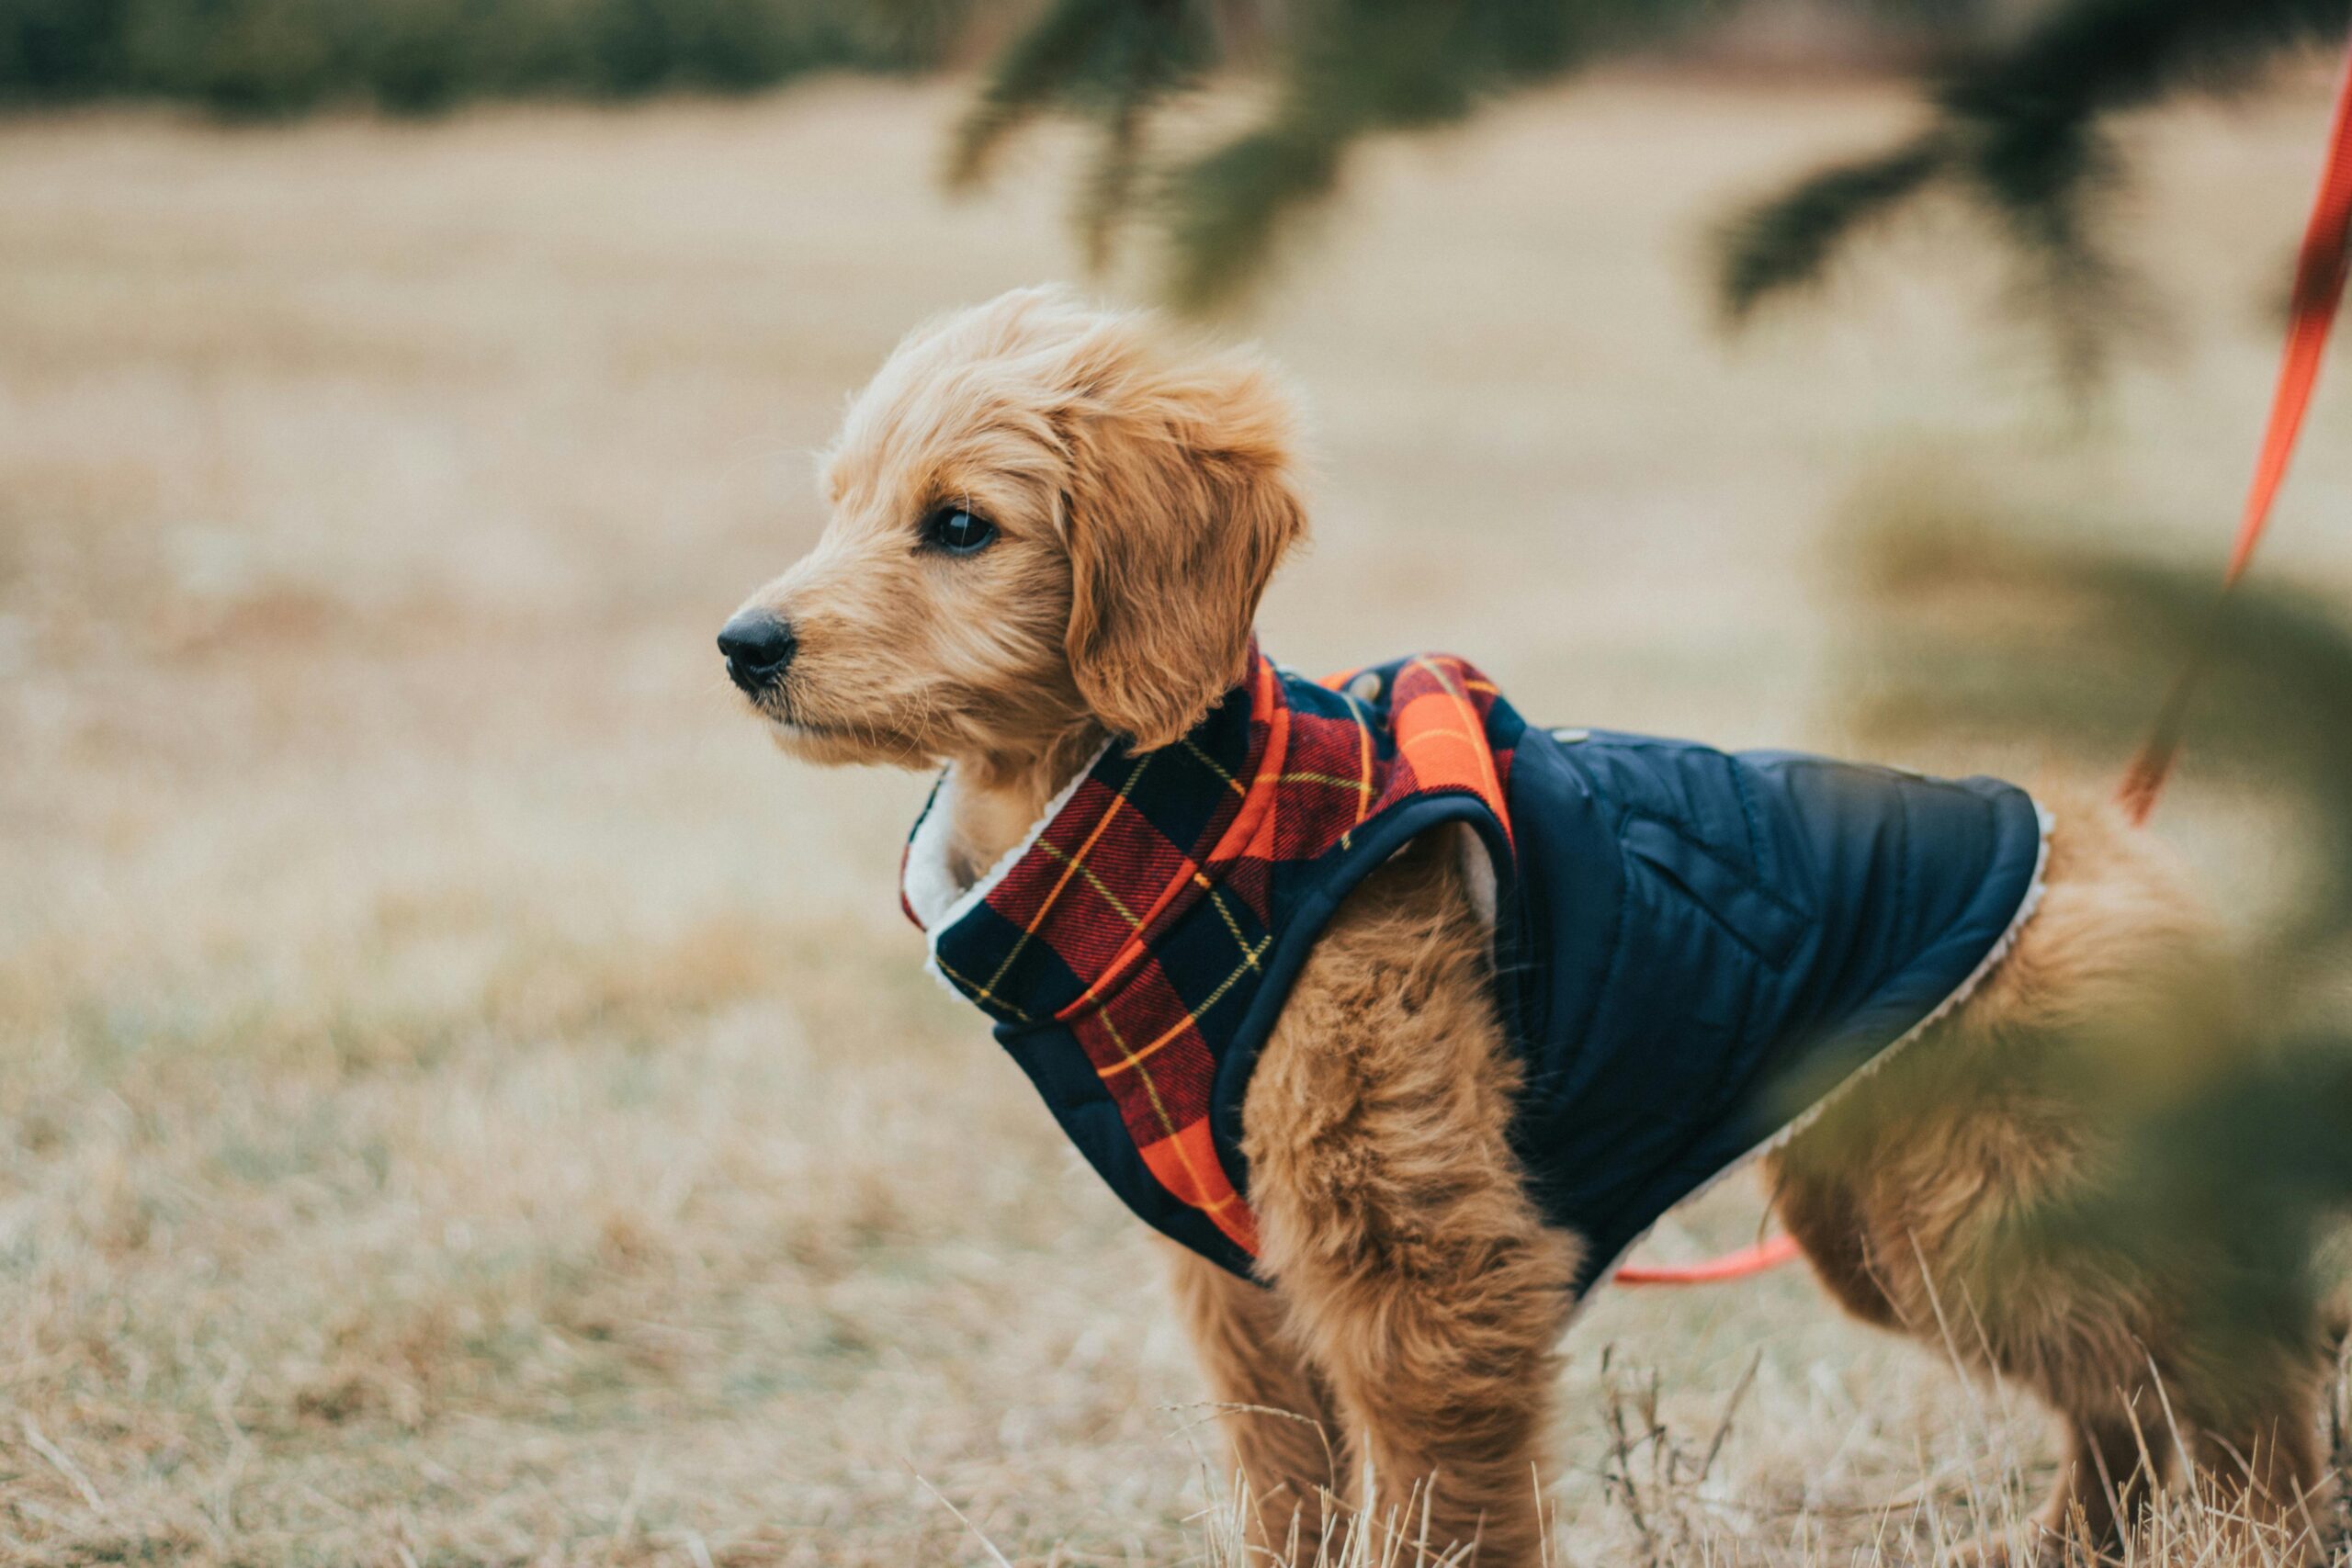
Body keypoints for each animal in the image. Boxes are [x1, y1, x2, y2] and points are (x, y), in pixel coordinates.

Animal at [724, 288, 2342, 1561]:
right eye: (840, 501)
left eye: (959, 525)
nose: (743, 644)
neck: (1194, 834)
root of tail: (2107, 834)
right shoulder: (1243, 1282)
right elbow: (1289, 1485)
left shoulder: (1425, 1262)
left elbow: (1436, 1506)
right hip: (1916, 1215)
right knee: (2125, 1391)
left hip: (1986, 1197)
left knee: (2231, 1352)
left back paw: (2257, 1531)